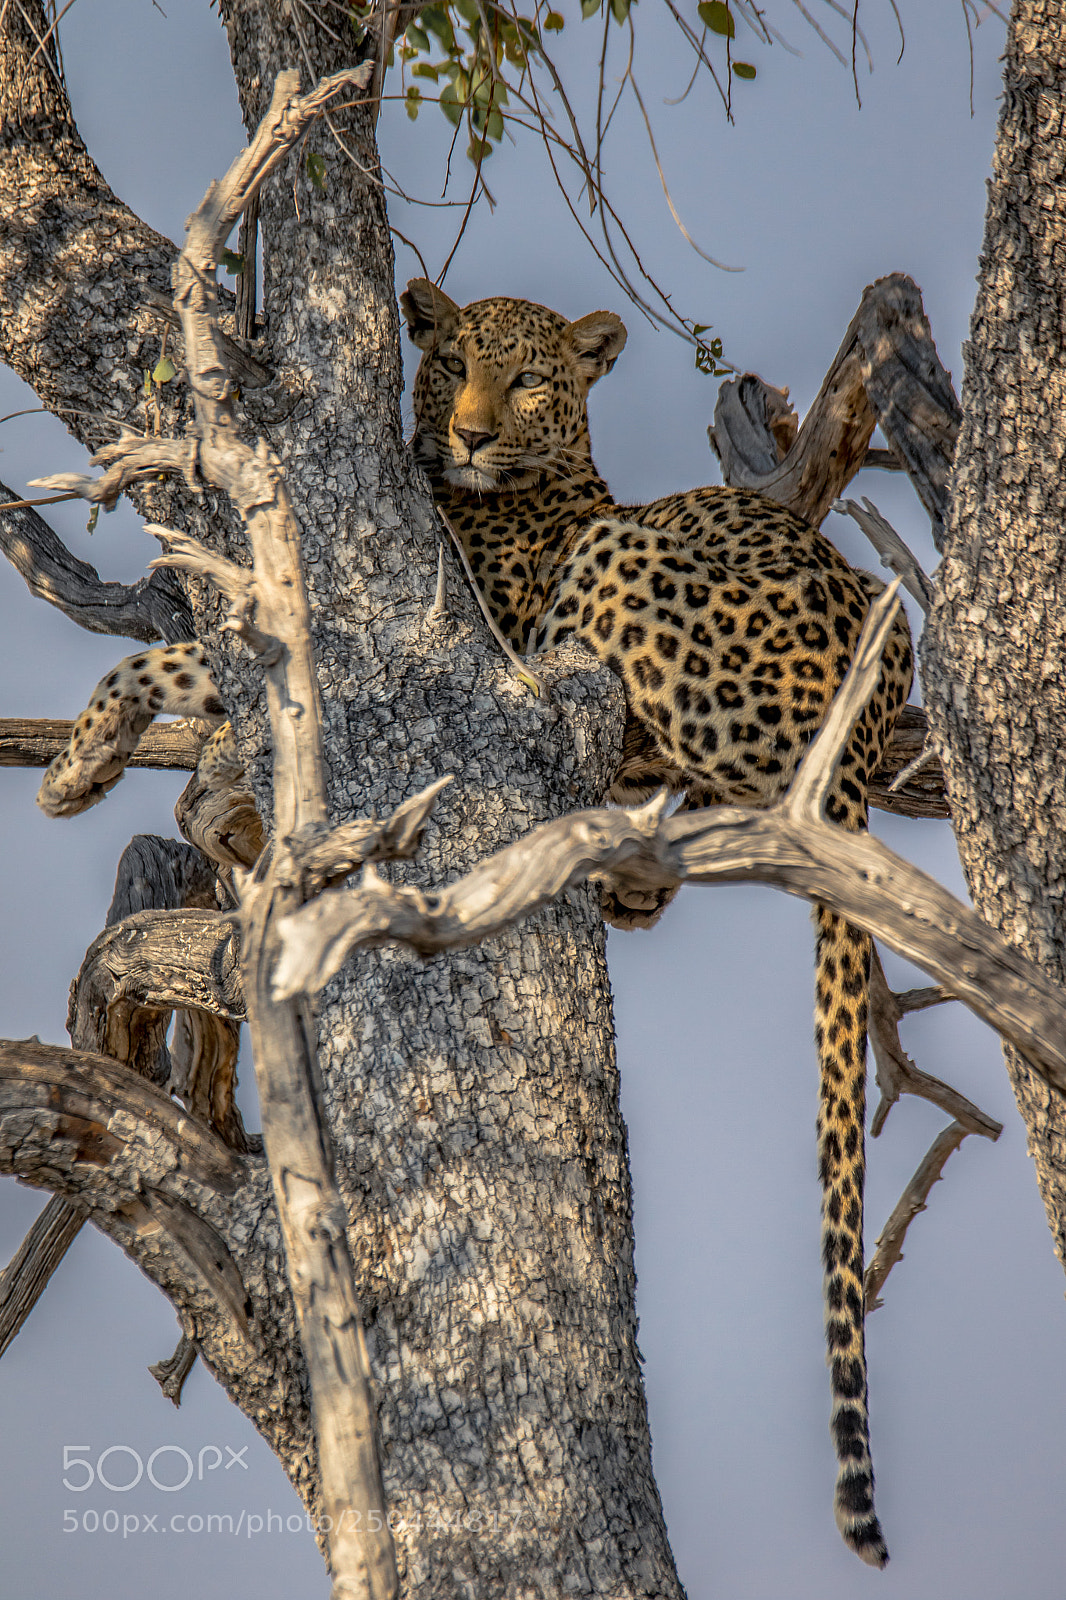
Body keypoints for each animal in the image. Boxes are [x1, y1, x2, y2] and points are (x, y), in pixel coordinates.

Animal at [37, 280, 913, 1568]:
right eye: (448, 361)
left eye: (528, 379)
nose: (467, 433)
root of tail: (868, 711)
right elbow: (189, 664)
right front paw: (107, 771)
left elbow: (188, 653)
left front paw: (98, 770)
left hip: (627, 584)